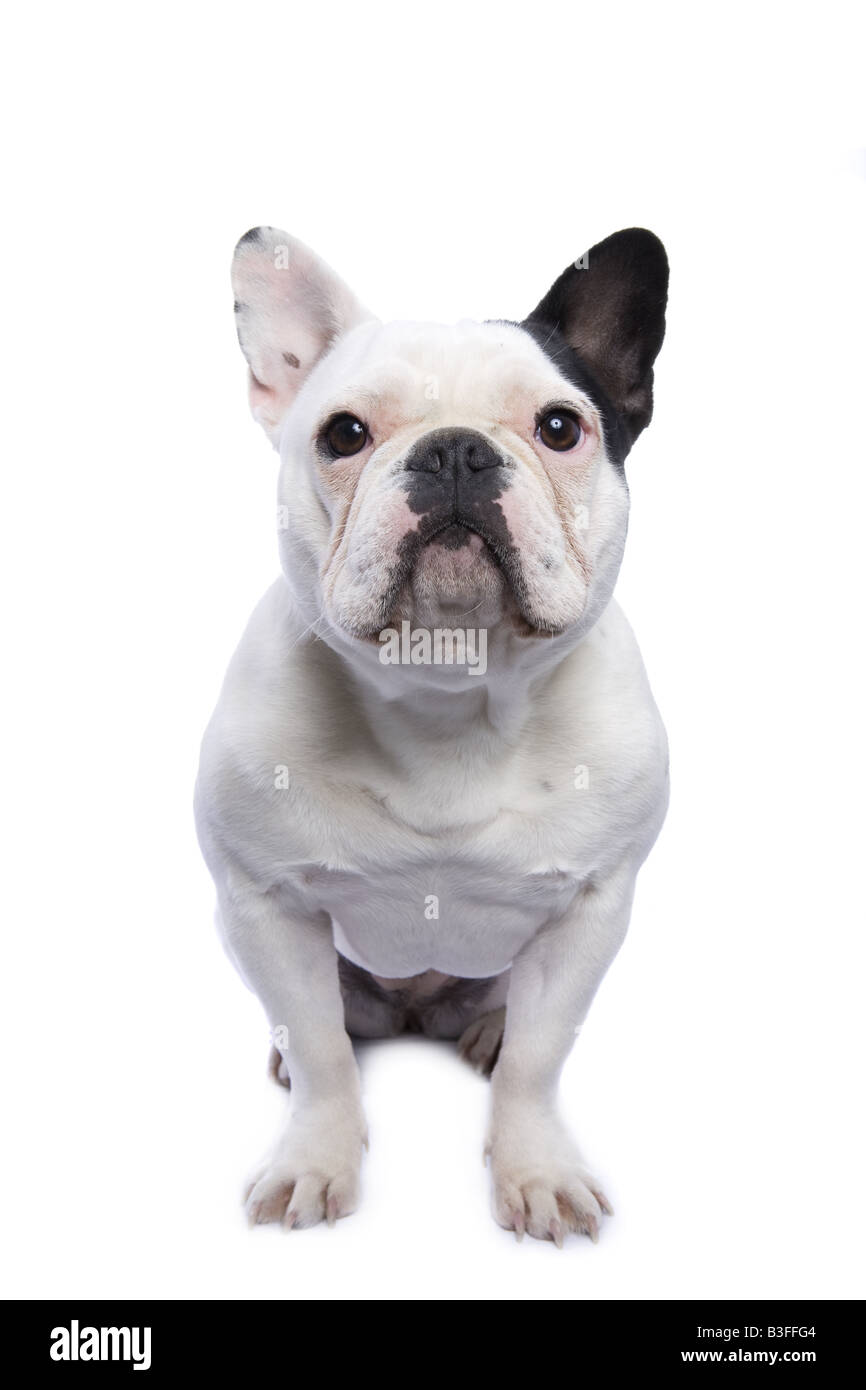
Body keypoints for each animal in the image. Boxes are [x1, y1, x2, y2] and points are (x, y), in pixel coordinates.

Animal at [194, 227, 670, 1251]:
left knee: (509, 1015)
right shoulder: (262, 903)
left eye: (561, 427)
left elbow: (539, 1059)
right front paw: (314, 1159)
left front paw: (537, 1172)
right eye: (343, 434)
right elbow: (323, 1052)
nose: (455, 450)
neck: (447, 696)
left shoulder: (592, 907)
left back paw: (487, 1030)